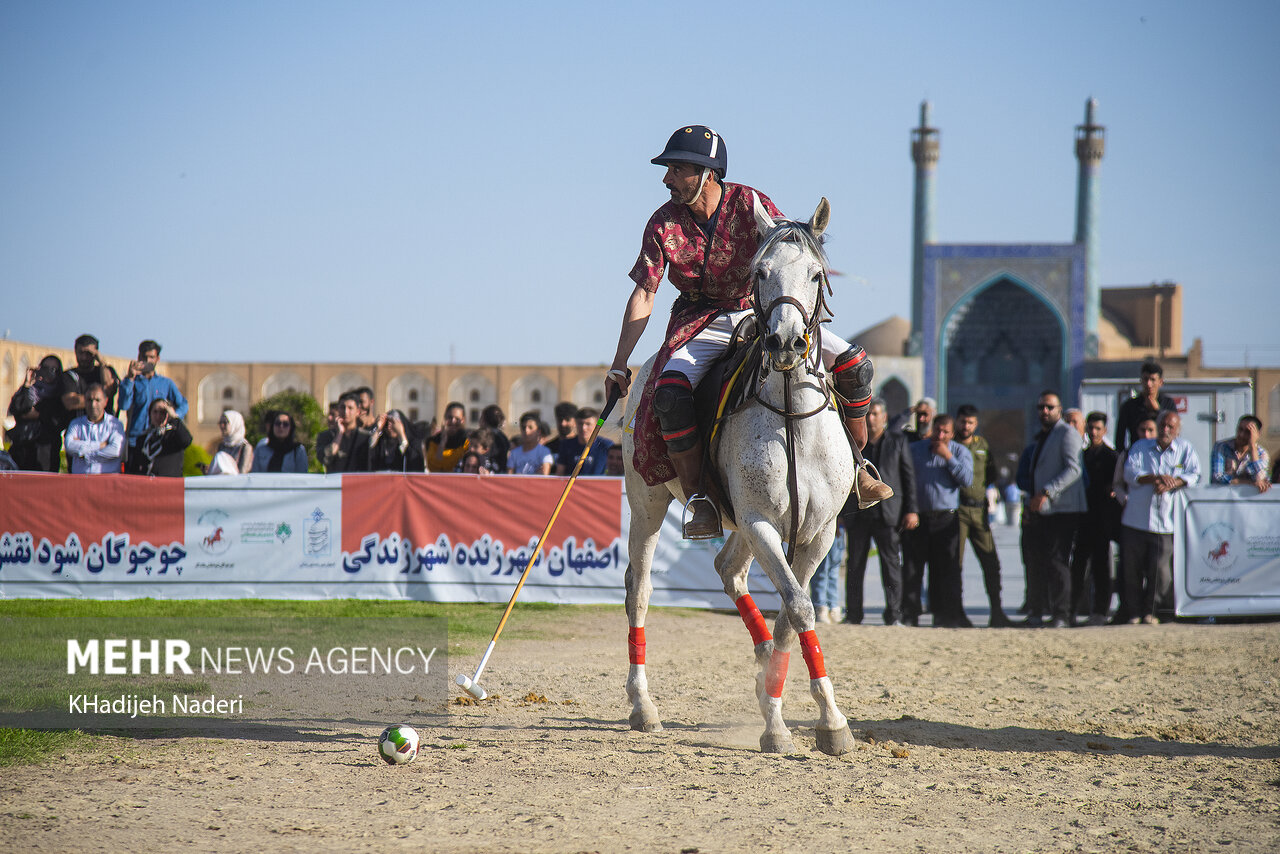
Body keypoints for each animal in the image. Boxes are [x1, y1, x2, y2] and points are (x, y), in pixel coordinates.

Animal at [622, 195, 855, 752]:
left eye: (816, 274)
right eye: (761, 272)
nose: (785, 343)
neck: (791, 415)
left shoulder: (819, 532)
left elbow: (793, 614)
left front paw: (814, 714)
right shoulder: (760, 521)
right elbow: (798, 606)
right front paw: (785, 723)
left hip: (738, 523)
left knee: (729, 569)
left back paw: (762, 666)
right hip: (649, 503)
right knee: (639, 589)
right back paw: (643, 705)